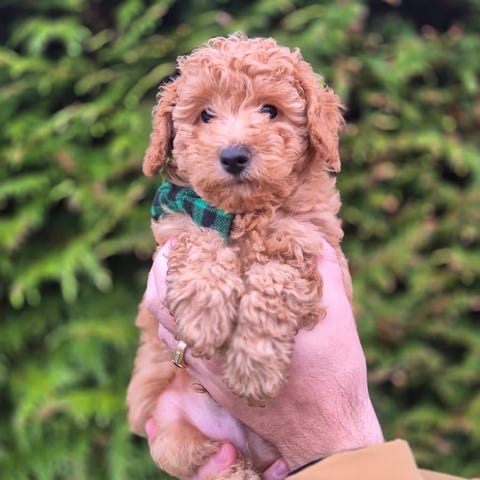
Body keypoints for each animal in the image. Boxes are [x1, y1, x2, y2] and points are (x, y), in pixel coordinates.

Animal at [127, 33, 352, 479]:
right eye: (205, 115)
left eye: (270, 110)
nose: (233, 156)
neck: (246, 213)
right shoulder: (179, 225)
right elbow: (201, 240)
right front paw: (203, 312)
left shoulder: (311, 240)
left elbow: (275, 279)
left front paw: (255, 365)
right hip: (177, 435)